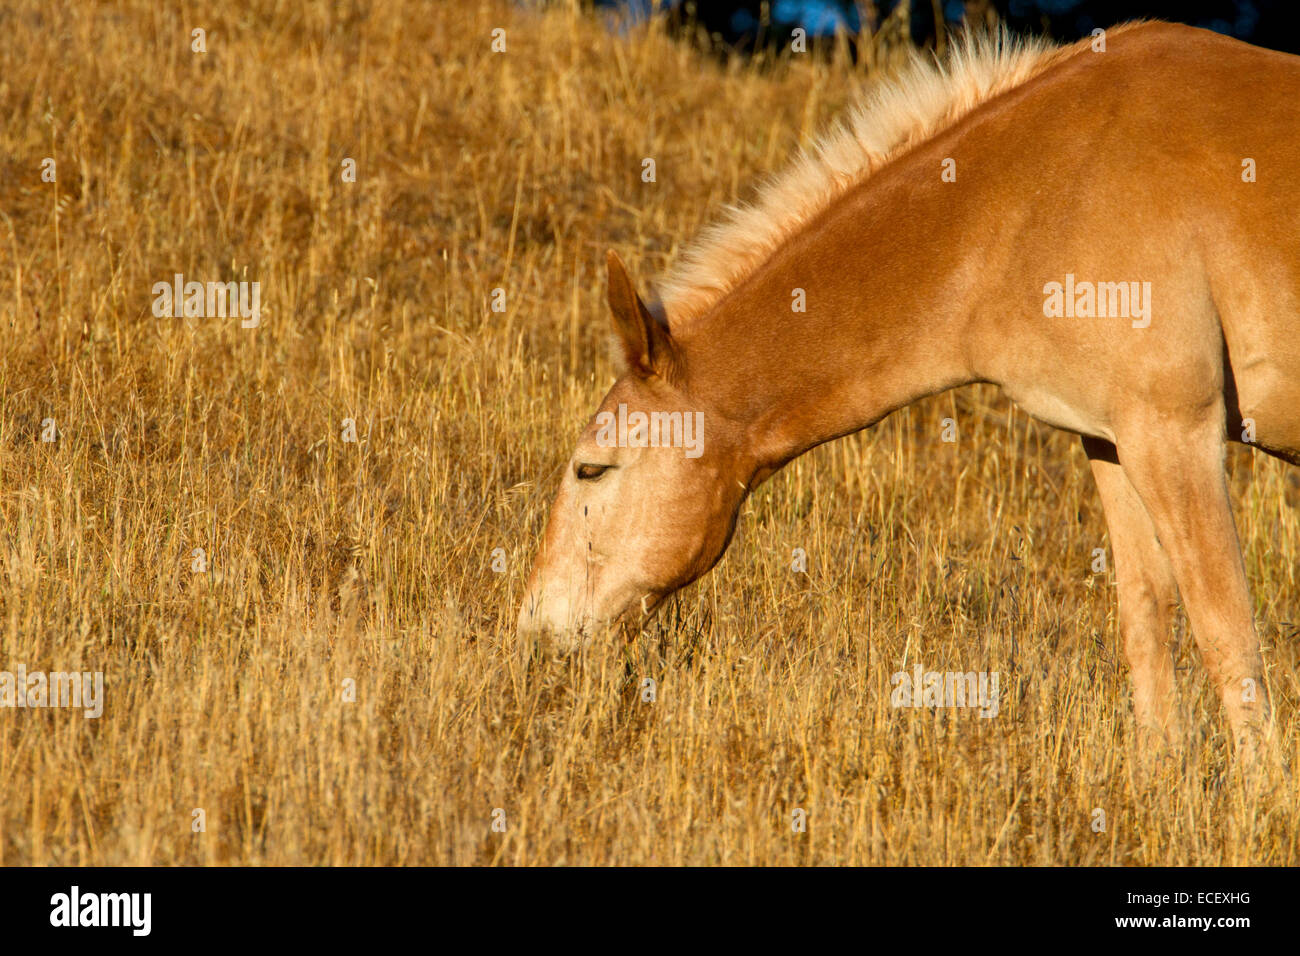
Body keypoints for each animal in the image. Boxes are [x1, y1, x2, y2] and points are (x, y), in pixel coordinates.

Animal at [517, 22, 1300, 759]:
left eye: (591, 469)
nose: (533, 628)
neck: (1040, 192)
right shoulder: (1113, 439)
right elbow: (1148, 621)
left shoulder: (1177, 435)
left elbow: (1229, 637)